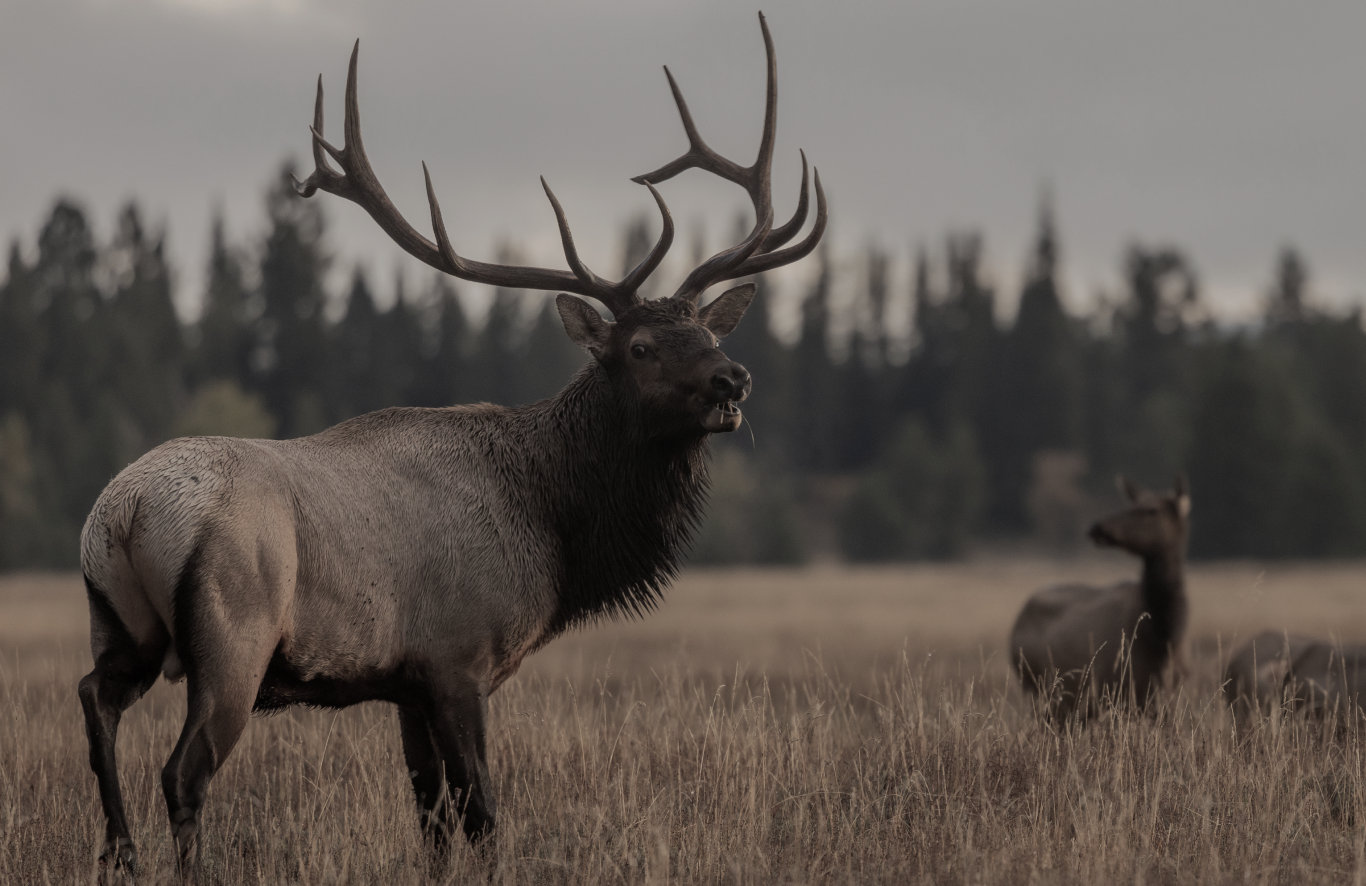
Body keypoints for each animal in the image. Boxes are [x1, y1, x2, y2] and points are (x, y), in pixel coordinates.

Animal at [77, 13, 825, 878]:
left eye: (707, 332)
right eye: (639, 348)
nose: (734, 379)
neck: (555, 528)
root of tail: (123, 511)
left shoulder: (405, 683)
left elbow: (430, 815)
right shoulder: (457, 661)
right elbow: (481, 813)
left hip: (124, 623)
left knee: (94, 700)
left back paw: (121, 857)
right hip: (234, 634)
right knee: (183, 770)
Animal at [1009, 475, 1191, 723]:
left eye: (1151, 510)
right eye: (1132, 505)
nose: (1098, 527)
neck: (1163, 638)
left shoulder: (1169, 696)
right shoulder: (1115, 689)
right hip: (1036, 685)